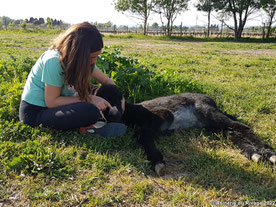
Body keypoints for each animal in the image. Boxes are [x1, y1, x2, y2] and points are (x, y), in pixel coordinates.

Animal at [95, 84, 276, 175]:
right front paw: (155, 160)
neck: (131, 111)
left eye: (117, 96)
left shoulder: (163, 114)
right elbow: (142, 134)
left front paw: (157, 161)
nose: (113, 115)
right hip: (211, 125)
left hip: (207, 111)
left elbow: (142, 134)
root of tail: (211, 100)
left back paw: (268, 154)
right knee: (231, 132)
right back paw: (256, 155)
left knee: (240, 127)